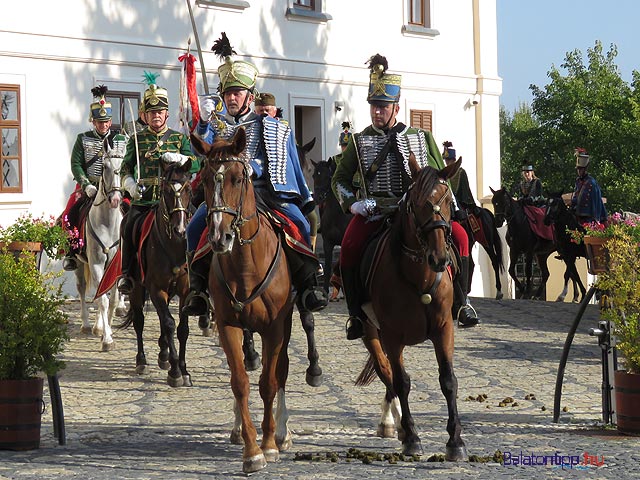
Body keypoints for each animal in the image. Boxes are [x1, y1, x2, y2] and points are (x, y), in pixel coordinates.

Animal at [116, 160, 194, 386]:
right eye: (167, 190)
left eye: (188, 189)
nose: (181, 229)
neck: (173, 246)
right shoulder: (156, 289)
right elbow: (169, 323)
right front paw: (175, 371)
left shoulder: (185, 292)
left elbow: (182, 329)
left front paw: (184, 369)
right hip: (136, 288)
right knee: (140, 321)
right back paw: (142, 360)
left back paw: (163, 353)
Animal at [192, 129, 296, 474]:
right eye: (206, 179)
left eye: (238, 178)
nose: (219, 237)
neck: (246, 265)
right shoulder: (228, 325)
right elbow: (240, 382)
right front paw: (252, 450)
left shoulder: (275, 328)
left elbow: (268, 382)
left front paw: (269, 443)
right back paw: (239, 428)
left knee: (281, 372)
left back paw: (283, 433)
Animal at [356, 158, 464, 462]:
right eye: (417, 203)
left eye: (447, 200)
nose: (439, 259)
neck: (421, 278)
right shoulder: (392, 336)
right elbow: (402, 381)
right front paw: (413, 438)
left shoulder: (444, 329)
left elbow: (448, 380)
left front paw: (455, 441)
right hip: (370, 330)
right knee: (386, 372)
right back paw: (395, 424)